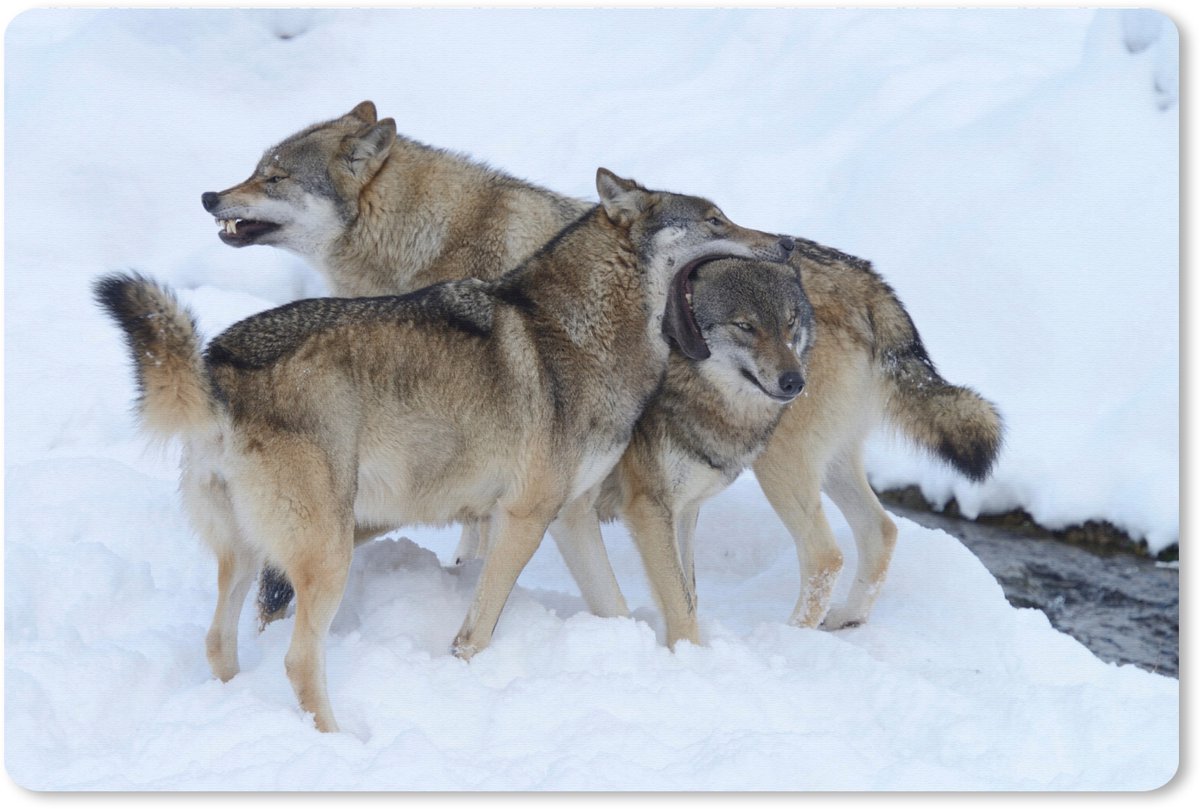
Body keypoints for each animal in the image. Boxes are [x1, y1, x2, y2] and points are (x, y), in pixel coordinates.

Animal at [102, 168, 793, 732]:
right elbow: (476, 633)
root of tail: (216, 367)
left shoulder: (568, 517)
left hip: (251, 555)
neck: (584, 332)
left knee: (219, 642)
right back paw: (340, 741)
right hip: (327, 554)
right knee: (298, 661)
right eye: (716, 219)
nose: (786, 244)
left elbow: (615, 608)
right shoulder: (524, 517)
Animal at [204, 101, 1002, 634]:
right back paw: (845, 625)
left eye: (272, 176)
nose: (211, 194)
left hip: (784, 463)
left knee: (827, 551)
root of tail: (869, 278)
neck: (427, 238)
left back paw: (796, 639)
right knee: (882, 532)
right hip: (827, 463)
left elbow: (481, 537)